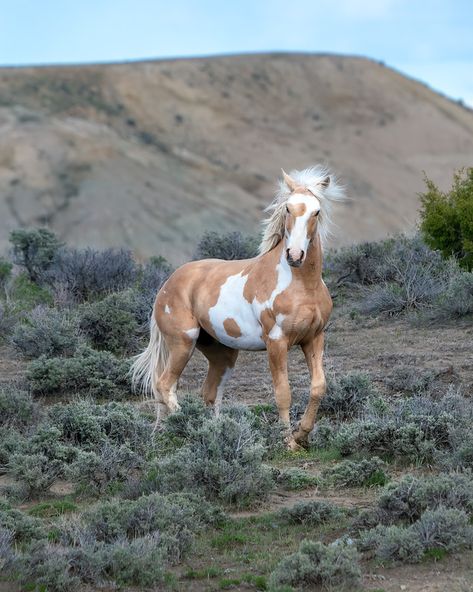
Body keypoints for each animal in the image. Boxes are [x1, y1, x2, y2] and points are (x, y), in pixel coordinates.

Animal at [131, 165, 344, 448]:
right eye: (288, 208)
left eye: (316, 211)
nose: (295, 255)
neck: (302, 286)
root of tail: (167, 284)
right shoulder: (276, 342)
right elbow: (283, 392)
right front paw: (288, 442)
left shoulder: (314, 338)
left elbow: (319, 387)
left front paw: (302, 435)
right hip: (183, 342)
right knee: (165, 384)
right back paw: (191, 426)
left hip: (223, 354)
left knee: (209, 393)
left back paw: (214, 432)